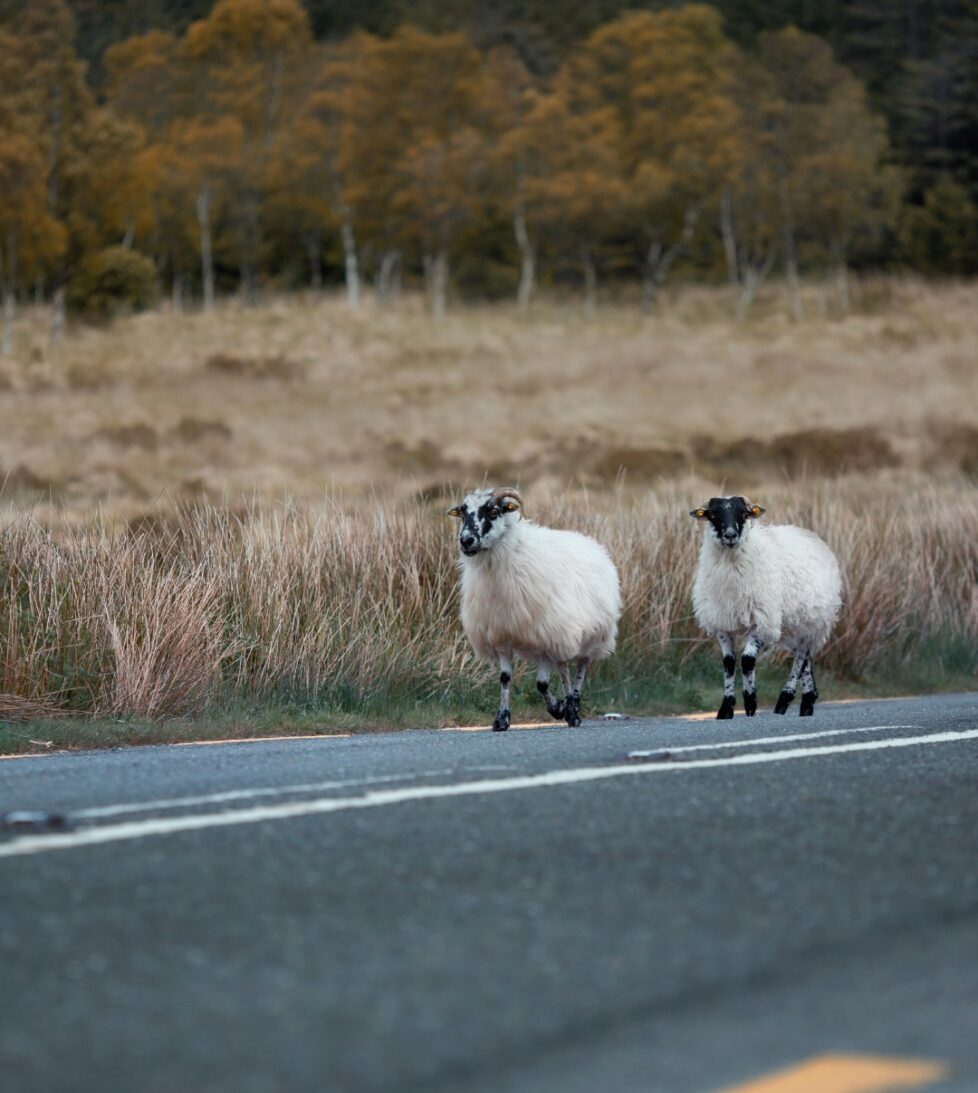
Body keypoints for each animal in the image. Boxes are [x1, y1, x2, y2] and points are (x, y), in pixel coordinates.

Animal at [448, 486, 621, 731]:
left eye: (493, 511)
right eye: (462, 513)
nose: (466, 540)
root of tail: (591, 543)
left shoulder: (545, 636)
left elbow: (541, 684)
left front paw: (557, 709)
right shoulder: (502, 636)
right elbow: (505, 678)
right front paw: (502, 719)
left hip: (592, 634)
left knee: (579, 668)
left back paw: (573, 709)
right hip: (563, 633)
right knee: (563, 668)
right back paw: (569, 706)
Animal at [690, 496, 842, 719]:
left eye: (744, 514)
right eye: (713, 515)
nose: (730, 535)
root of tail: (808, 533)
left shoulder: (762, 620)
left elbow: (747, 660)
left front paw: (750, 702)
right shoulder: (722, 624)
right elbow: (728, 664)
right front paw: (726, 708)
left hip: (814, 620)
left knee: (801, 656)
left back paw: (786, 698)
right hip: (794, 625)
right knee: (805, 658)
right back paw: (808, 700)